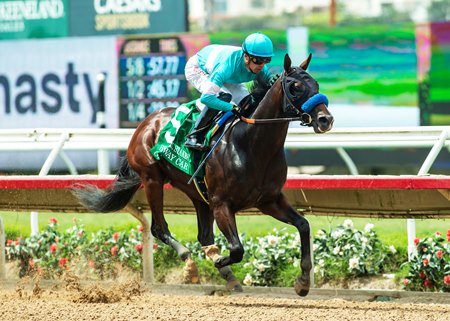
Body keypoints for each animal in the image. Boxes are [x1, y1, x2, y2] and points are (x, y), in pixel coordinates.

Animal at [74, 53, 334, 296]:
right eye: (295, 87)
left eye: (316, 84)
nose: (326, 119)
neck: (251, 143)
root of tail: (146, 121)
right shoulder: (222, 203)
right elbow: (237, 249)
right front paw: (219, 260)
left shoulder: (269, 200)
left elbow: (303, 225)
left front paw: (302, 283)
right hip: (152, 179)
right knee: (159, 228)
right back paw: (189, 261)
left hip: (198, 193)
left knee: (204, 236)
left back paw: (226, 275)